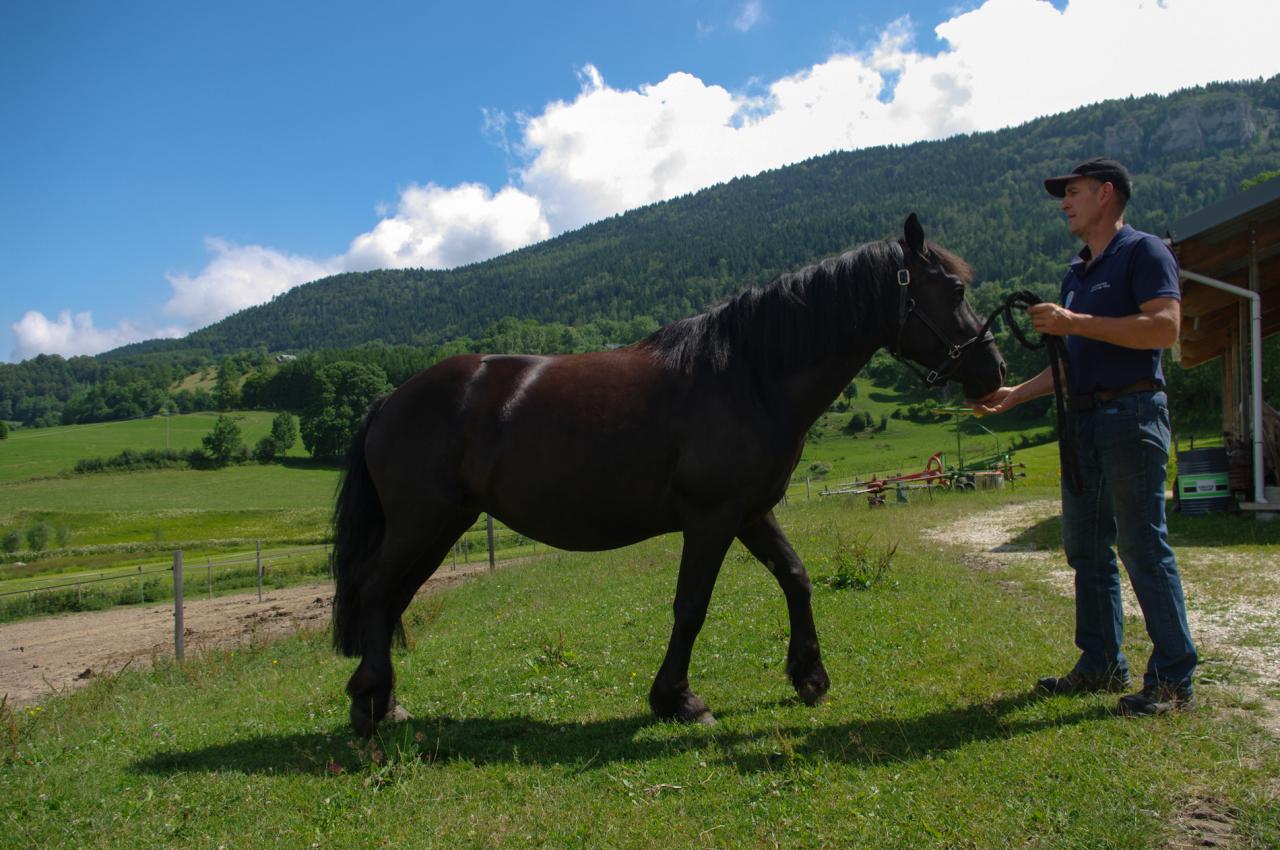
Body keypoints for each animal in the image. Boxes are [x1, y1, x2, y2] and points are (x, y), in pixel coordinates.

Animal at [327, 216, 998, 732]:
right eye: (953, 289)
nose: (993, 369)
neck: (747, 374)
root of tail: (391, 399)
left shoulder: (751, 512)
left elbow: (797, 577)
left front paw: (809, 675)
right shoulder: (711, 519)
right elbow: (691, 606)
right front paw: (678, 699)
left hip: (442, 526)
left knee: (393, 598)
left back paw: (383, 701)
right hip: (423, 522)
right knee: (378, 591)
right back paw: (369, 702)